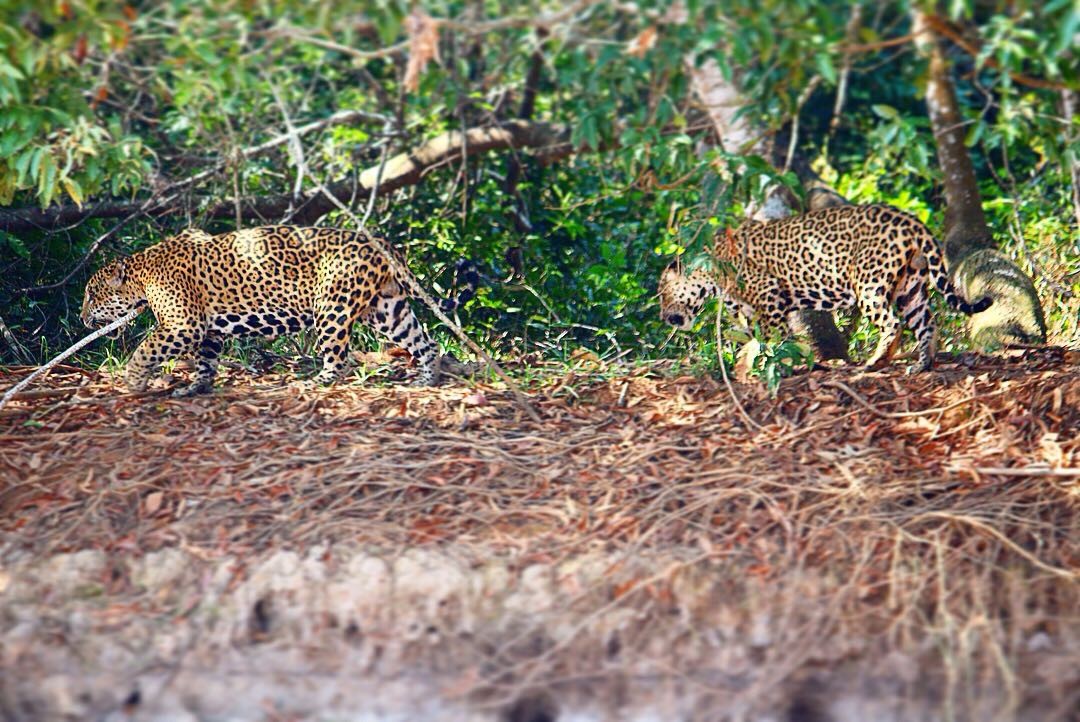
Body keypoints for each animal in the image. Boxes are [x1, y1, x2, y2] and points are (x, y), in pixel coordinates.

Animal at [81, 225, 477, 396]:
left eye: (91, 294)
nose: (82, 319)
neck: (141, 274)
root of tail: (381, 242)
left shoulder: (183, 325)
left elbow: (145, 349)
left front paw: (133, 382)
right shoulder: (208, 329)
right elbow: (207, 360)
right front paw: (196, 387)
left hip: (332, 305)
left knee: (340, 358)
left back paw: (313, 382)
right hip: (386, 307)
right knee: (425, 342)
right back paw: (427, 380)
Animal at [658, 204, 992, 373]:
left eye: (662, 295)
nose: (663, 316)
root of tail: (912, 221)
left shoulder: (769, 294)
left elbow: (774, 337)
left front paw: (779, 364)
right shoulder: (749, 309)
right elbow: (756, 339)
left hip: (869, 284)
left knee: (893, 323)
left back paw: (876, 361)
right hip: (909, 288)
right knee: (926, 323)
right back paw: (923, 364)